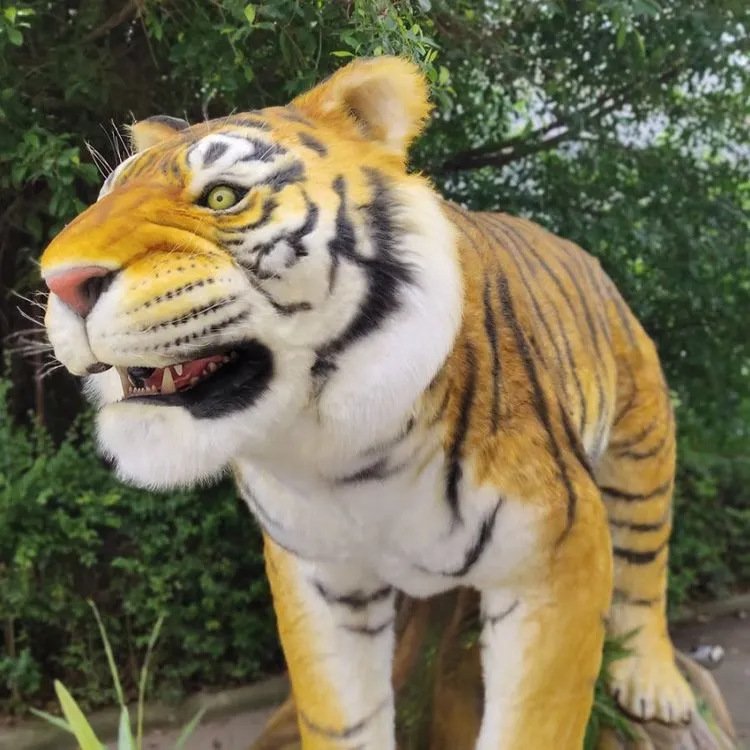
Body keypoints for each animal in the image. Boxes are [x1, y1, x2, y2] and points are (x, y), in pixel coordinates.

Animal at [41, 56, 695, 749]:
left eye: (222, 196)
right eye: (102, 200)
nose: (60, 280)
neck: (339, 455)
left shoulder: (559, 555)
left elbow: (536, 721)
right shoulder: (318, 577)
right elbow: (341, 715)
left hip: (641, 446)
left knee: (646, 565)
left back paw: (656, 686)